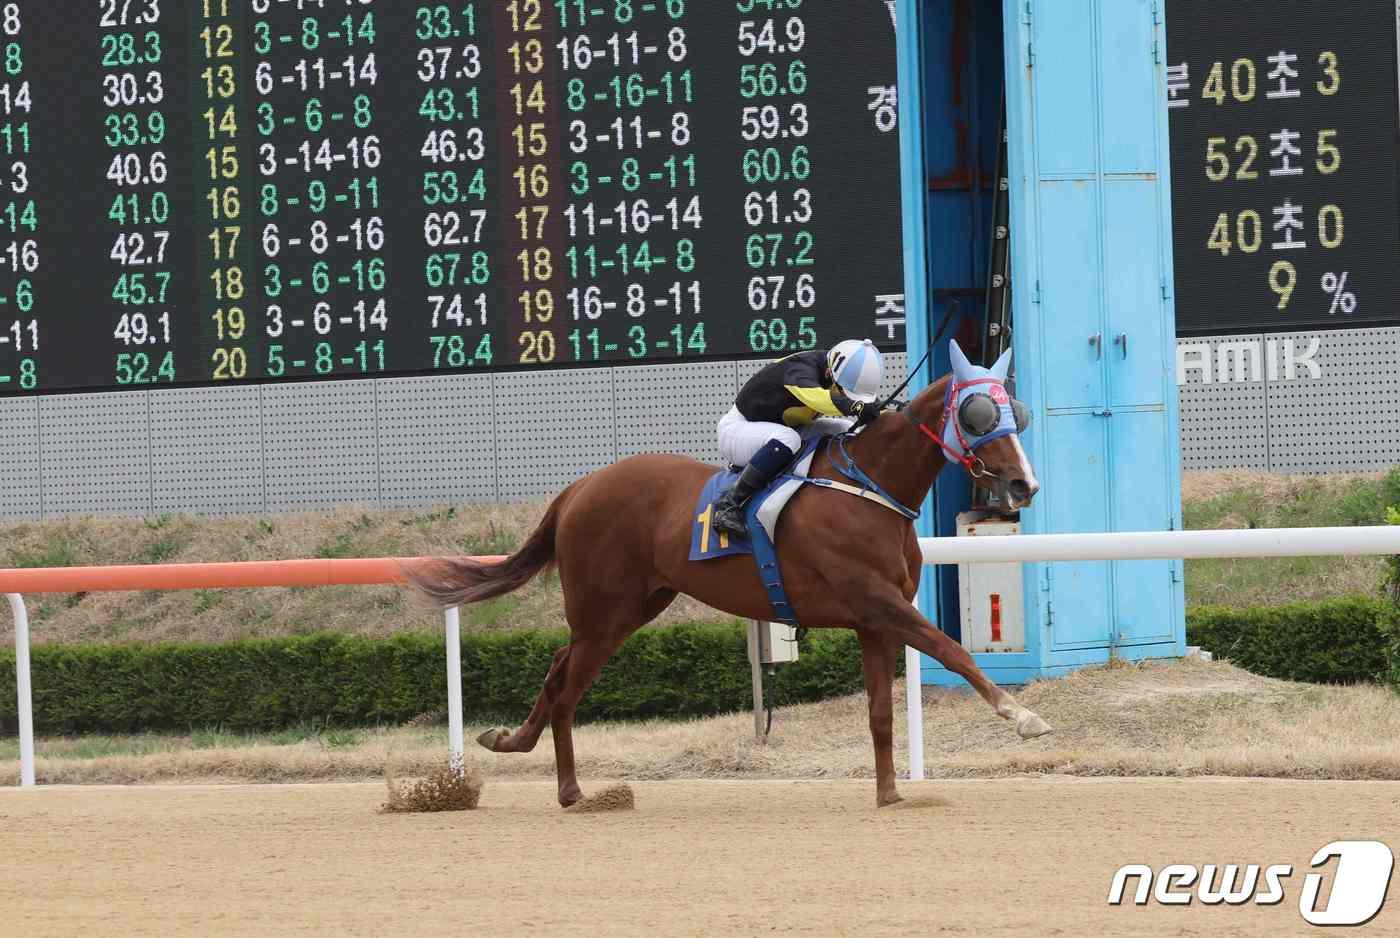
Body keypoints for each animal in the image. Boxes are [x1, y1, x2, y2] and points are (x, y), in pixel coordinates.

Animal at [408, 348, 1052, 812]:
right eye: (977, 414)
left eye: (1015, 411)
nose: (1024, 485)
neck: (867, 485)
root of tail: (579, 487)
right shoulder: (878, 601)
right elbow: (952, 650)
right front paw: (1022, 716)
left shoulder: (875, 621)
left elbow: (880, 711)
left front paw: (890, 794)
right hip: (603, 612)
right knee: (567, 687)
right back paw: (572, 792)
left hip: (628, 609)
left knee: (557, 668)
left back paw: (511, 742)